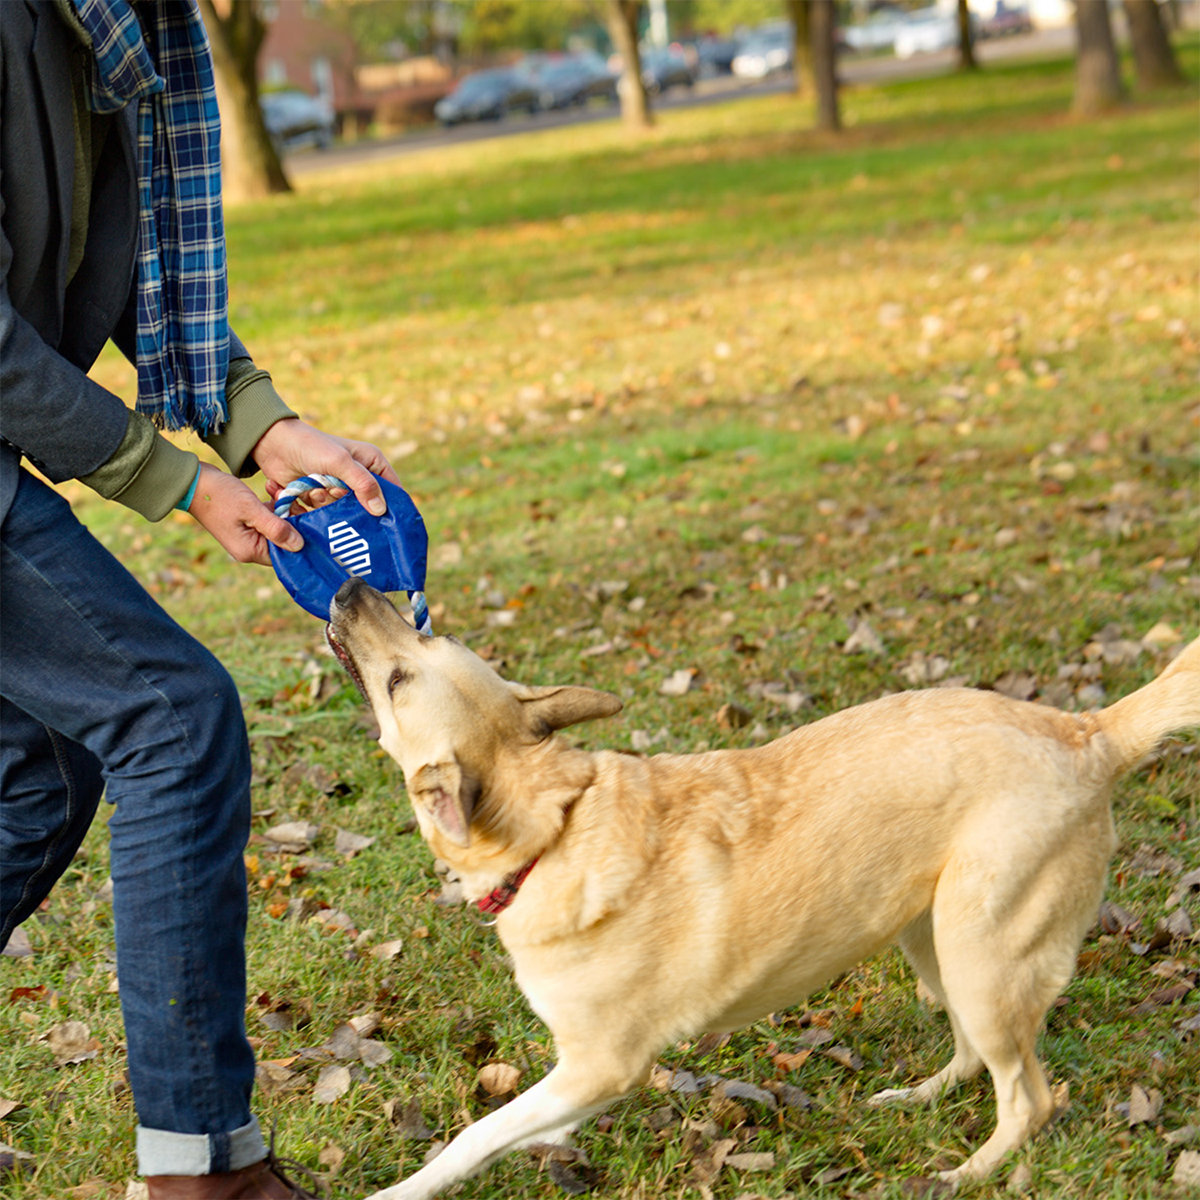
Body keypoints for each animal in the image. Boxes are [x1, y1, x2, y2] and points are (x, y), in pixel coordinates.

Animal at [326, 576, 1200, 1195]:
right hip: (934, 939)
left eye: (400, 677)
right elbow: (519, 1128)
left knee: (1027, 1095)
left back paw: (968, 1174)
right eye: (425, 634)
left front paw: (405, 1190)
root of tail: (1086, 731)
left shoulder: (602, 1065)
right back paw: (919, 1100)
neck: (554, 827)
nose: (348, 590)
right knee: (973, 1055)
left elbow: (473, 1137)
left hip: (982, 950)